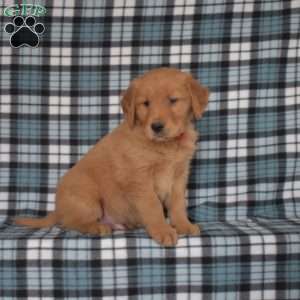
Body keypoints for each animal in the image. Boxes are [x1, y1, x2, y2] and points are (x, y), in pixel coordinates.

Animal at [15, 68, 210, 246]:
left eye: (173, 100)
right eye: (145, 103)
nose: (156, 126)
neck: (166, 145)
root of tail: (57, 209)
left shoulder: (179, 176)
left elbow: (178, 205)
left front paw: (184, 225)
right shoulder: (139, 180)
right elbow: (153, 206)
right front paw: (163, 231)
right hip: (87, 198)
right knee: (70, 223)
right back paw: (98, 227)